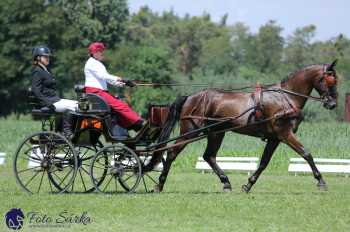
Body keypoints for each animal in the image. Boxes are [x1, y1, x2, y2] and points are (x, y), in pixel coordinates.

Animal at [152, 59, 338, 192]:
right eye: (330, 80)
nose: (333, 104)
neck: (286, 98)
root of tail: (190, 97)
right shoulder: (285, 134)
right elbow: (306, 154)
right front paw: (321, 181)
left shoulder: (274, 138)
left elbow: (264, 162)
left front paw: (248, 185)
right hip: (191, 131)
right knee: (172, 153)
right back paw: (159, 185)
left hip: (216, 133)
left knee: (209, 156)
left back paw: (226, 183)